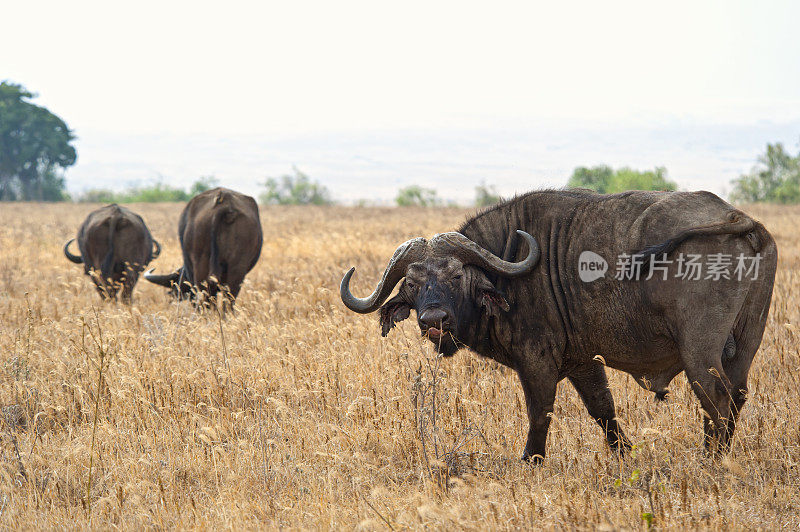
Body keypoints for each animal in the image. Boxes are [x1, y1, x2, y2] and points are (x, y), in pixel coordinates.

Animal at [340, 190, 780, 462]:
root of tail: (737, 216)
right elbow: (603, 410)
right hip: (745, 344)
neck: (509, 267)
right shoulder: (584, 362)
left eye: (455, 275)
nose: (434, 320)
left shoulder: (536, 361)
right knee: (737, 396)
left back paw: (709, 460)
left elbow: (540, 411)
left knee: (716, 399)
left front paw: (531, 460)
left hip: (699, 351)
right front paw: (625, 455)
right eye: (412, 284)